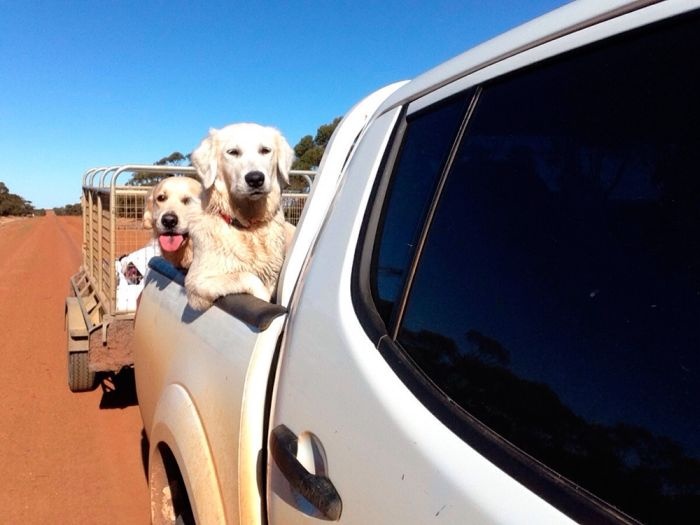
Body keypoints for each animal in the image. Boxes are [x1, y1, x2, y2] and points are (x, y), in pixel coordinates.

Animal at [185, 122, 294, 312]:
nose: (255, 178)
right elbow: (246, 276)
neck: (249, 226)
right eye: (233, 152)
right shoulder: (196, 283)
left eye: (265, 150)